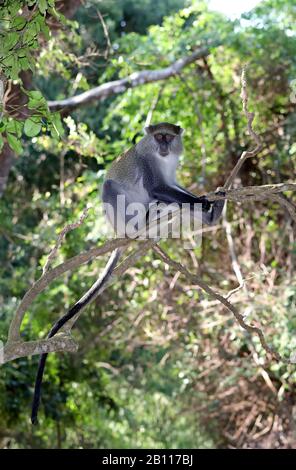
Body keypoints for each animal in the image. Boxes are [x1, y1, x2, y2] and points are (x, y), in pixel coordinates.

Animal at [30, 121, 224, 422]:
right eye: (159, 137)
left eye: (169, 137)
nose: (164, 146)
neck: (160, 157)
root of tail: (116, 230)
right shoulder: (148, 163)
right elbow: (158, 187)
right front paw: (202, 201)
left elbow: (174, 187)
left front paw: (205, 202)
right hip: (120, 212)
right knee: (116, 188)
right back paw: (143, 221)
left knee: (172, 205)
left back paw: (209, 216)